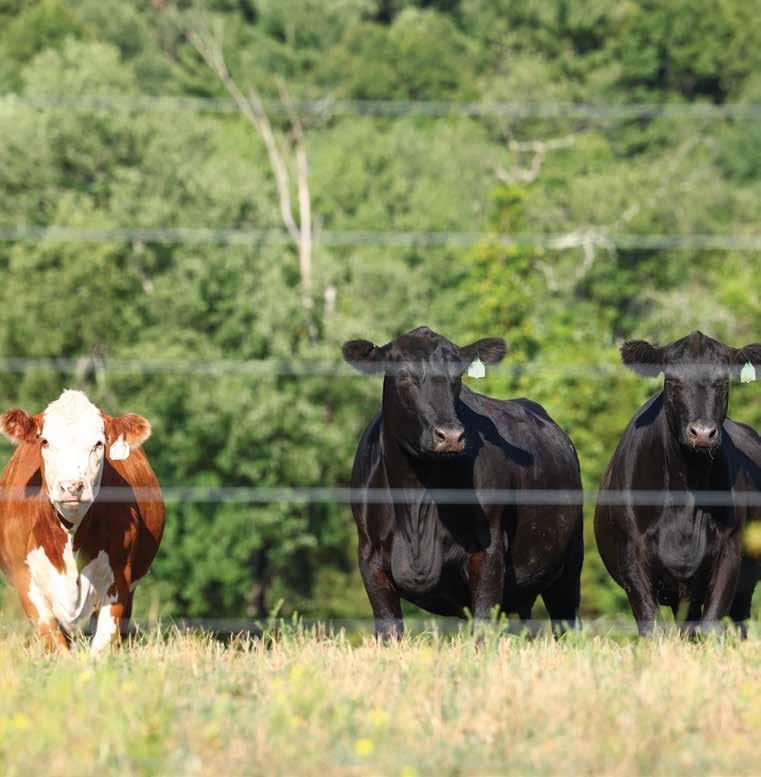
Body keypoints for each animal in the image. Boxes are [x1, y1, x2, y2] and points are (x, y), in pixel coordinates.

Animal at [0, 389, 164, 653]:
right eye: (45, 442)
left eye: (99, 443)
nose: (71, 486)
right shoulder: (26, 582)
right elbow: (55, 642)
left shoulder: (120, 580)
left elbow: (103, 644)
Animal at [343, 326, 584, 637]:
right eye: (404, 374)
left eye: (457, 378)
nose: (450, 435)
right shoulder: (370, 558)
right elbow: (389, 629)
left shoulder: (488, 552)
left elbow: (482, 626)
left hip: (569, 565)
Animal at [594, 331, 761, 635]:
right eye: (673, 381)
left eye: (723, 381)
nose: (702, 433)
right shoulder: (631, 554)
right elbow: (650, 624)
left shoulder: (730, 553)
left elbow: (710, 623)